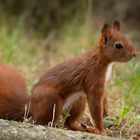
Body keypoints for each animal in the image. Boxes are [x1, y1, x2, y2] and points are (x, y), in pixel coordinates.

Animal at [0, 20, 136, 135]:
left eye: (128, 39)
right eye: (118, 45)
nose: (134, 54)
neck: (102, 61)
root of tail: (30, 107)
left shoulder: (102, 85)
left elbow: (104, 97)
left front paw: (106, 111)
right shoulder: (93, 81)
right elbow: (96, 109)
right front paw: (102, 130)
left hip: (79, 101)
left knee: (68, 123)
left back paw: (83, 128)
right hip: (51, 99)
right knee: (40, 121)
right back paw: (53, 125)